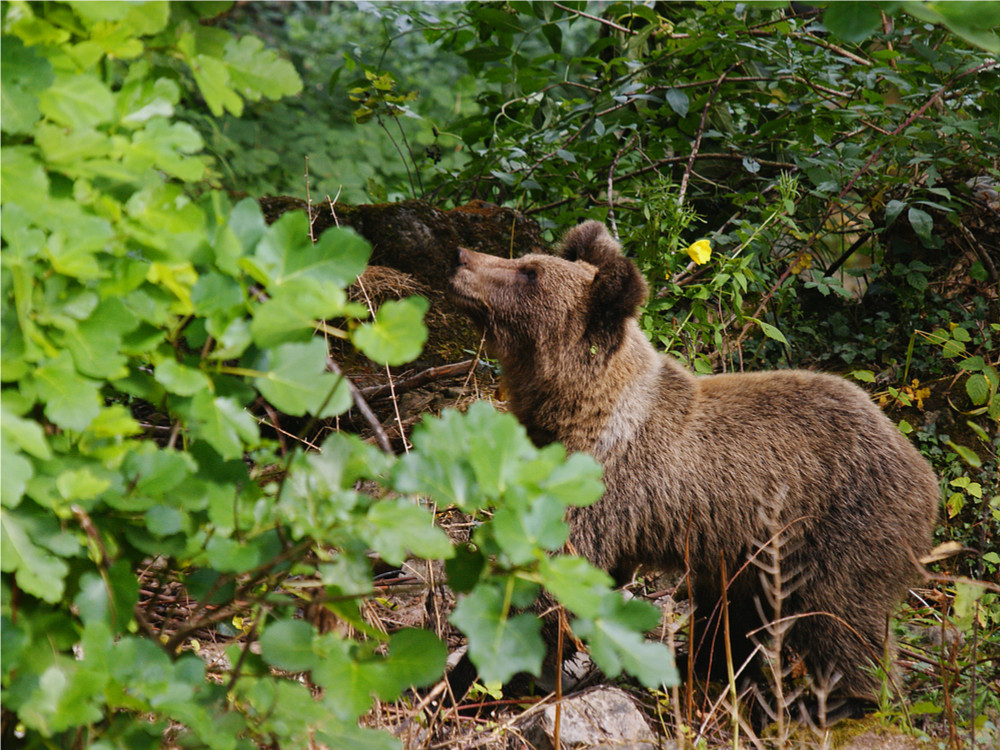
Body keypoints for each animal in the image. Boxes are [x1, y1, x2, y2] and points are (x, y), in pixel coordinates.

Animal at [450, 220, 940, 708]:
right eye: (525, 260)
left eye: (528, 273)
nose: (460, 257)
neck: (576, 410)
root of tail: (923, 472)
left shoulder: (599, 488)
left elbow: (544, 582)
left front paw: (469, 676)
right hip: (752, 554)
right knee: (737, 613)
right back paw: (705, 665)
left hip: (839, 528)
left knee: (840, 618)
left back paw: (844, 700)